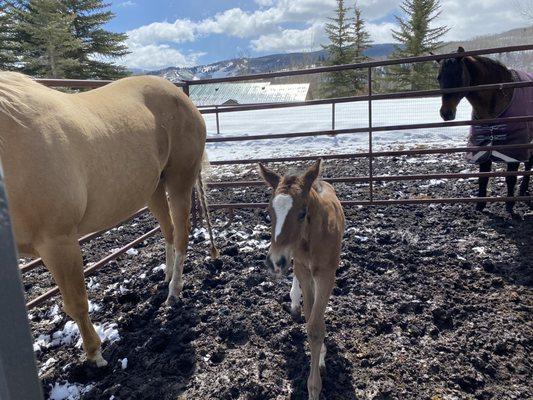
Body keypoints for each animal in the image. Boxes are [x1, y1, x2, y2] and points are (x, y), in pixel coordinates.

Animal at [0, 73, 218, 368]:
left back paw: (174, 291)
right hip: (153, 188)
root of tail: (183, 98)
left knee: (182, 234)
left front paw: (95, 354)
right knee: (169, 231)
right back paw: (167, 276)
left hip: (179, 181)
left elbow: (76, 302)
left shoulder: (59, 242)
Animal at [258, 159, 344, 400]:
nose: (274, 261)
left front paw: (314, 387)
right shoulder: (304, 269)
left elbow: (315, 326)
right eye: (269, 211)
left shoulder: (326, 274)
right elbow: (309, 317)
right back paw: (294, 301)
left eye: (302, 212)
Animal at [436, 46, 532, 216]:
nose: (446, 113)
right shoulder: (483, 146)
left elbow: (511, 178)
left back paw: (522, 190)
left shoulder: (514, 147)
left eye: (457, 74)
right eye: (438, 78)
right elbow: (483, 177)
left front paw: (510, 205)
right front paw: (480, 205)